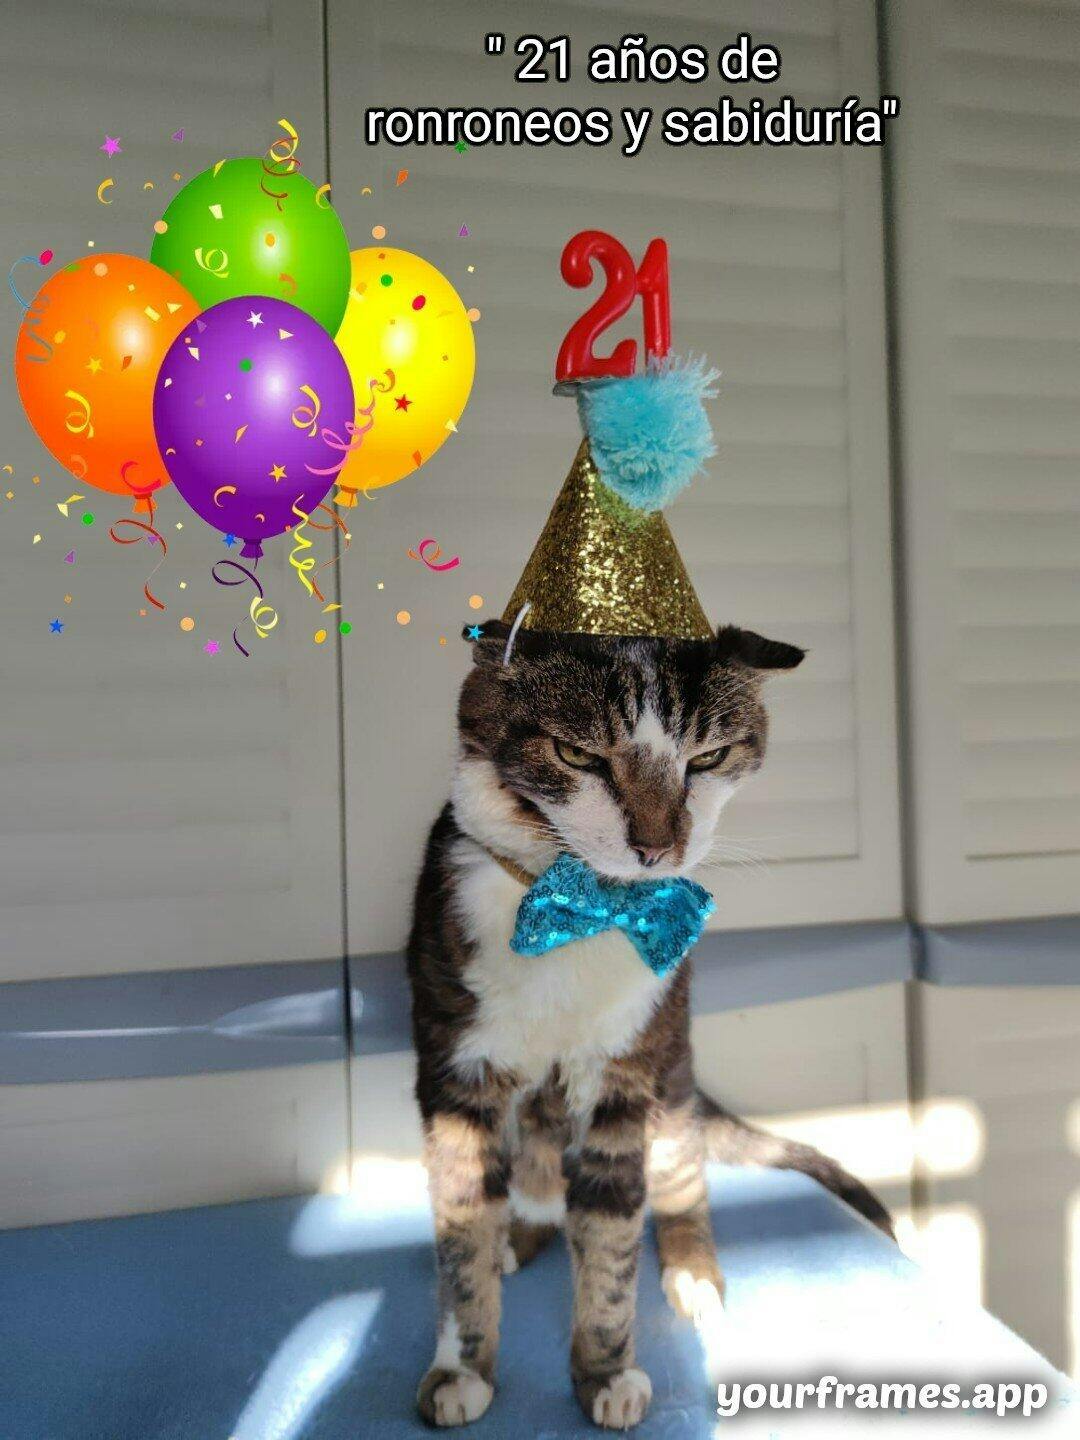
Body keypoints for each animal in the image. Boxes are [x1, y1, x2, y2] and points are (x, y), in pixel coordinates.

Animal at [406, 619, 891, 1430]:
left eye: (709, 758)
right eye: (577, 755)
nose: (659, 845)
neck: (582, 912)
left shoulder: (628, 1076)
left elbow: (612, 1239)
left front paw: (603, 1373)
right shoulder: (456, 1072)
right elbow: (462, 1227)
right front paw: (461, 1369)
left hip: (673, 1079)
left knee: (682, 1176)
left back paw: (692, 1270)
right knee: (537, 1181)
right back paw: (521, 1233)